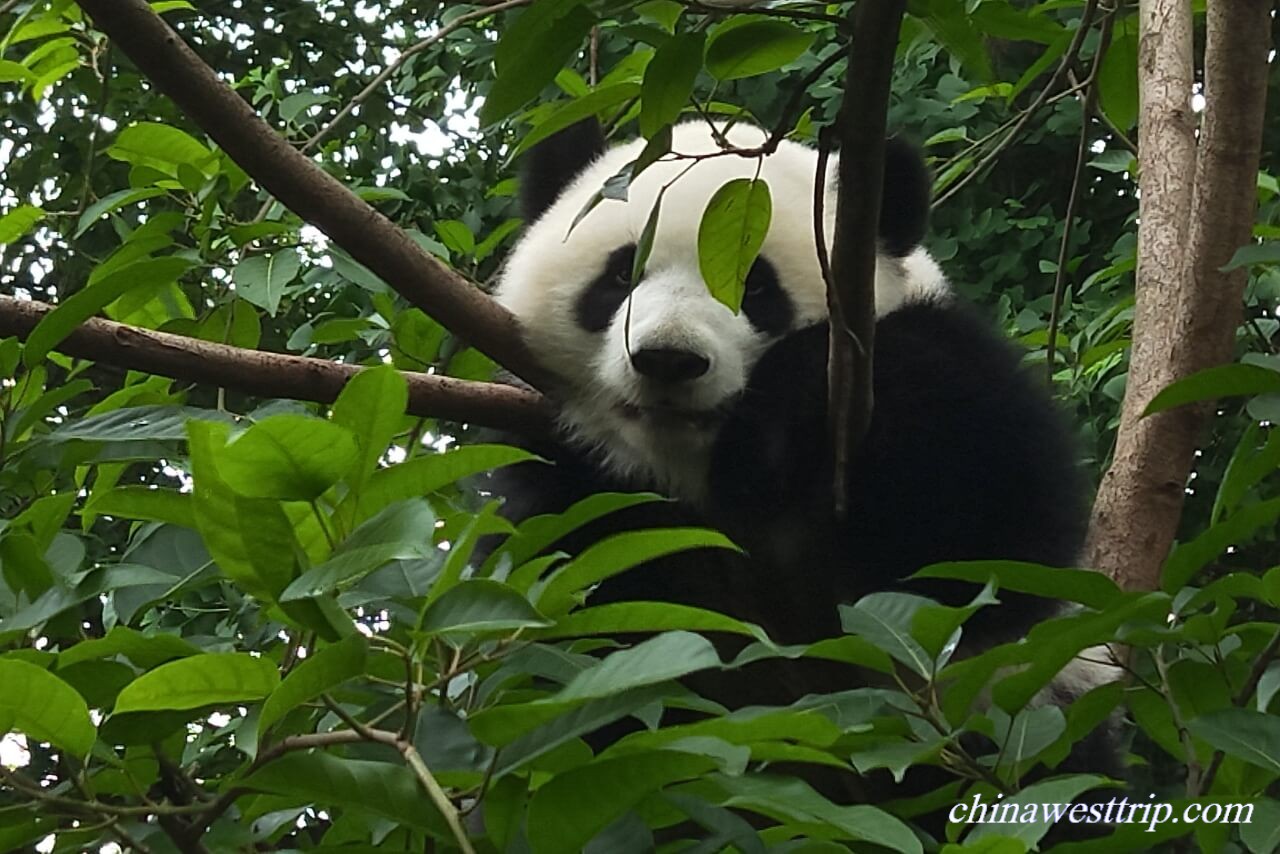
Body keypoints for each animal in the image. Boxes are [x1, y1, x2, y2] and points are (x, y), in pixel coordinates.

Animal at [483, 118, 1116, 788]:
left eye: (756, 285)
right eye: (619, 275)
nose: (669, 359)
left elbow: (994, 536)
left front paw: (786, 408)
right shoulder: (567, 487)